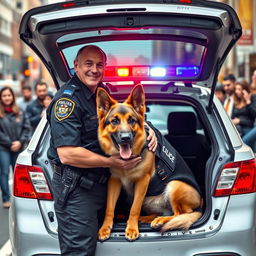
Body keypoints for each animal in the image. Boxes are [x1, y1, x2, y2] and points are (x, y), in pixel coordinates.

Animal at [96, 84, 202, 242]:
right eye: (114, 121)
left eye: (131, 120)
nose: (126, 138)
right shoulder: (114, 181)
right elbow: (110, 207)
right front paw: (105, 228)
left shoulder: (142, 181)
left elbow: (134, 207)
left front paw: (132, 229)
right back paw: (147, 218)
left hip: (174, 185)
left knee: (180, 214)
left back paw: (160, 220)